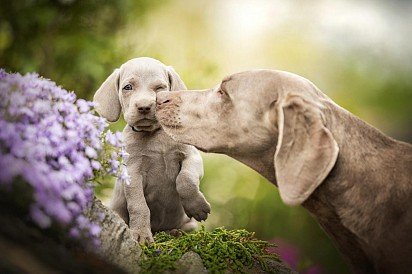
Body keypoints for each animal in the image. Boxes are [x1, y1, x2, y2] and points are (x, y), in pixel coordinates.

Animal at [93, 56, 209, 243]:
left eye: (160, 88)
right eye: (128, 87)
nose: (144, 107)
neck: (154, 134)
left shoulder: (191, 157)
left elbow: (185, 180)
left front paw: (197, 207)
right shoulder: (132, 172)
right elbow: (139, 205)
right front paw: (141, 233)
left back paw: (175, 232)